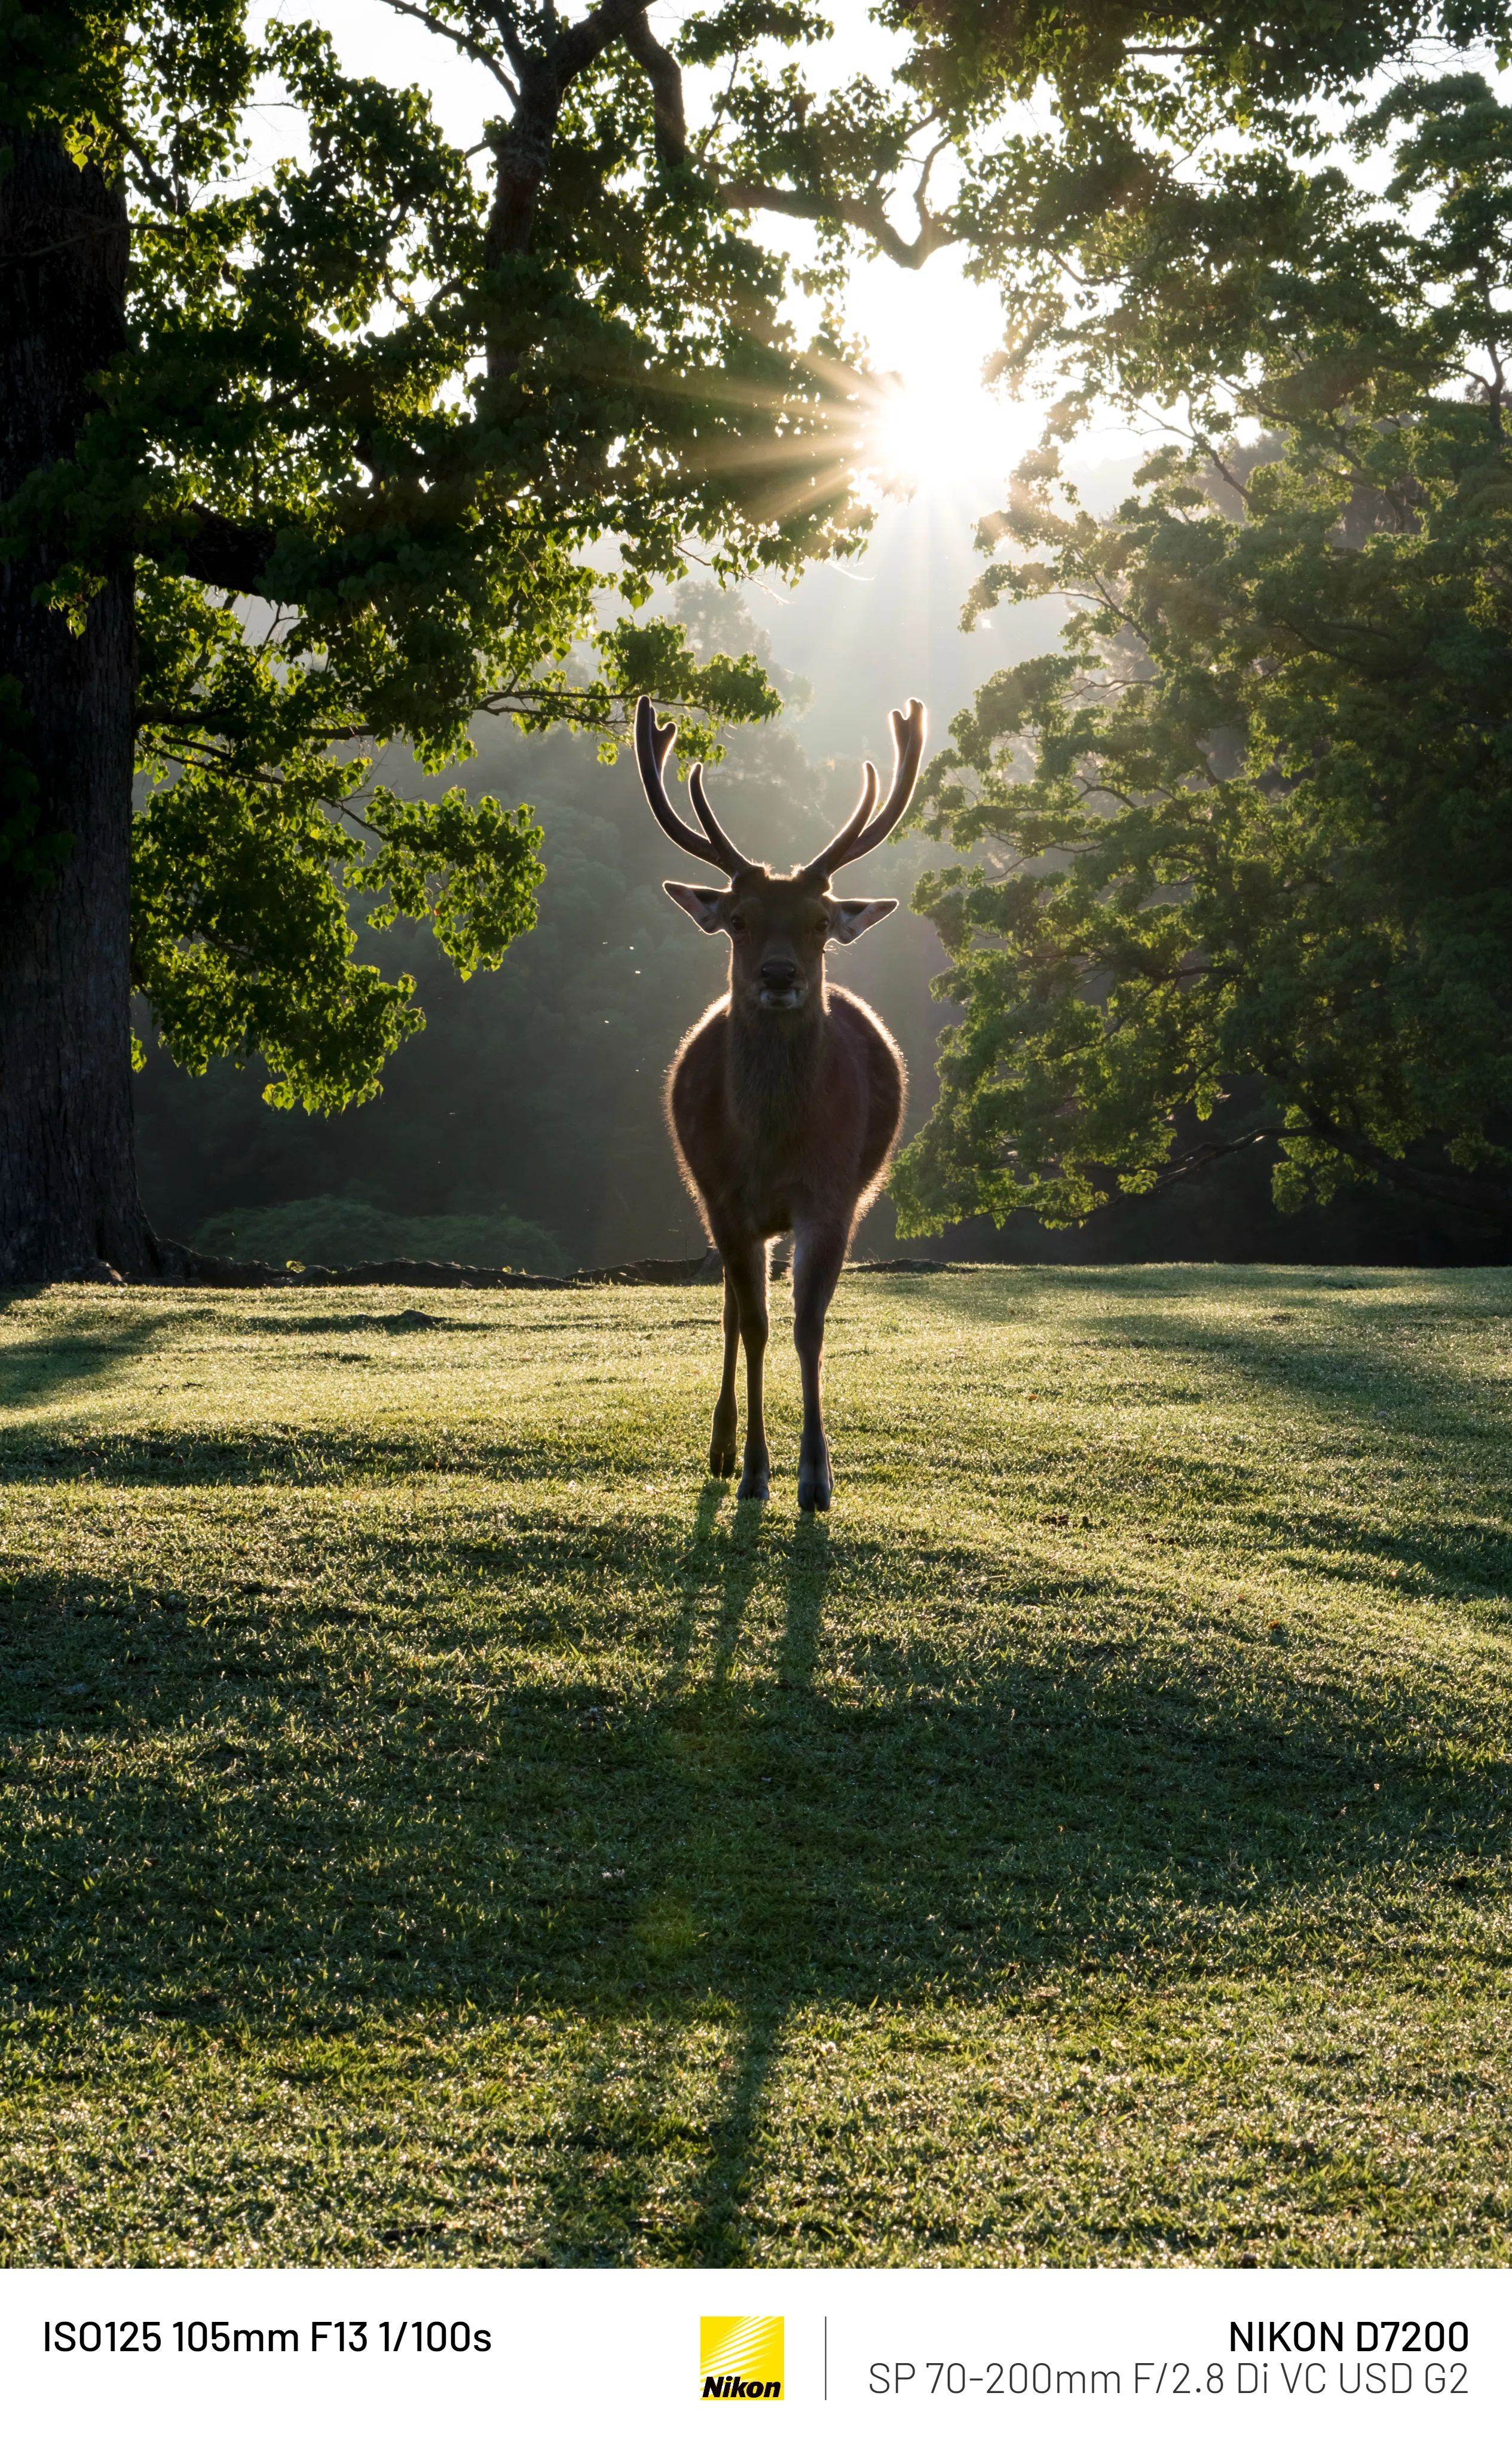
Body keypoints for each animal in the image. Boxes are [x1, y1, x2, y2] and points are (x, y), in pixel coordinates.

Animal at [634, 691, 927, 1510]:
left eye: (820, 923)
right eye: (739, 920)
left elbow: (807, 1326)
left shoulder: (830, 1195)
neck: (770, 1145)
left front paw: (817, 1477)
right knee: (733, 1313)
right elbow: (758, 1326)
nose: (776, 976)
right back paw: (720, 1449)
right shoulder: (724, 1197)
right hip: (715, 1202)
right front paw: (756, 1470)